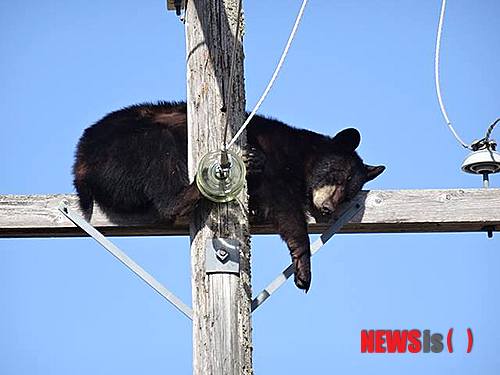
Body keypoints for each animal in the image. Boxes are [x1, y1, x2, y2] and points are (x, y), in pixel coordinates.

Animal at [72, 101, 384, 292]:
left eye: (349, 193)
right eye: (337, 176)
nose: (329, 207)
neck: (299, 157)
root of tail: (80, 163)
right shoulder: (276, 160)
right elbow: (285, 208)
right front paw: (303, 267)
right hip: (128, 147)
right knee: (160, 155)